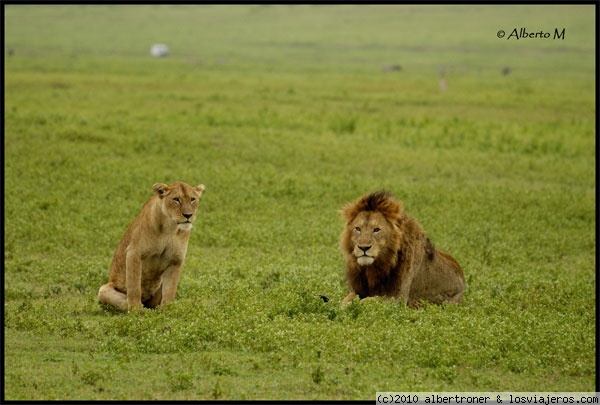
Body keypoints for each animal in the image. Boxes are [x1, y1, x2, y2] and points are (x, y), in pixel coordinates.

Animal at [96, 181, 204, 310]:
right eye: (176, 199)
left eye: (192, 199)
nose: (188, 215)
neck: (170, 228)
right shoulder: (134, 253)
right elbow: (134, 286)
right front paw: (136, 310)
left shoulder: (176, 260)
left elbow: (170, 290)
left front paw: (167, 310)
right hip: (103, 289)